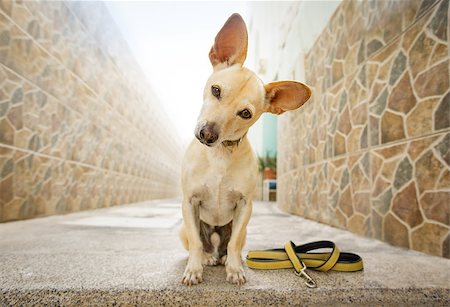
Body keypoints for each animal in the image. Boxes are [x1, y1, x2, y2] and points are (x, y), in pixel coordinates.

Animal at [178, 12, 310, 286]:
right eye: (216, 90)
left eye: (245, 113)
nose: (208, 134)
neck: (219, 155)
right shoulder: (189, 202)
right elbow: (196, 243)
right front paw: (194, 270)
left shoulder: (245, 206)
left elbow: (235, 243)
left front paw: (235, 269)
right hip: (184, 228)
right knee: (204, 245)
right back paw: (208, 258)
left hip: (243, 229)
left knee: (228, 247)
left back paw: (228, 260)